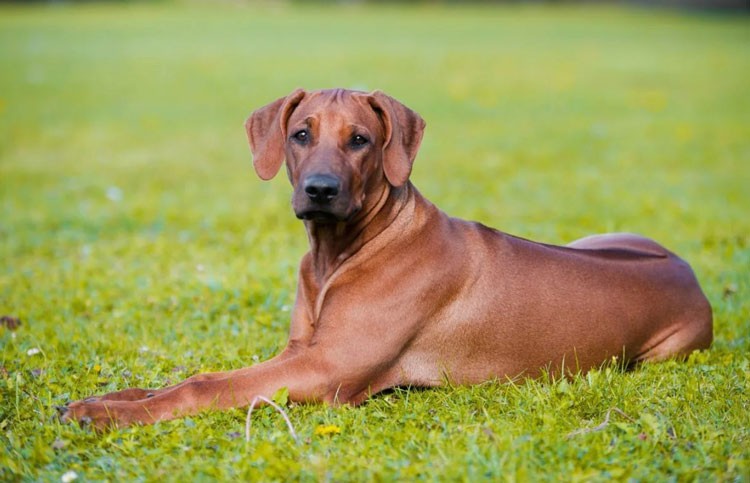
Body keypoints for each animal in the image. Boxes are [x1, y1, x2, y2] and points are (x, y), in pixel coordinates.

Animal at [61, 89, 712, 430]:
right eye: (300, 134)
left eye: (360, 140)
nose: (320, 189)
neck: (340, 252)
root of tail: (688, 270)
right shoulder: (299, 351)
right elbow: (186, 378)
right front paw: (106, 401)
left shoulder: (323, 369)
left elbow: (202, 385)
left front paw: (111, 414)